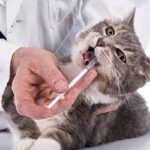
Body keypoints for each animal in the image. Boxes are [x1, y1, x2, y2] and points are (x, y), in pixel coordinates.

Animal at [1, 9, 150, 150]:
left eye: (121, 56)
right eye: (110, 31)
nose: (101, 41)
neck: (73, 75)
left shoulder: (83, 126)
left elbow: (57, 137)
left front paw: (39, 145)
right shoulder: (11, 94)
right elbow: (19, 114)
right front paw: (27, 140)